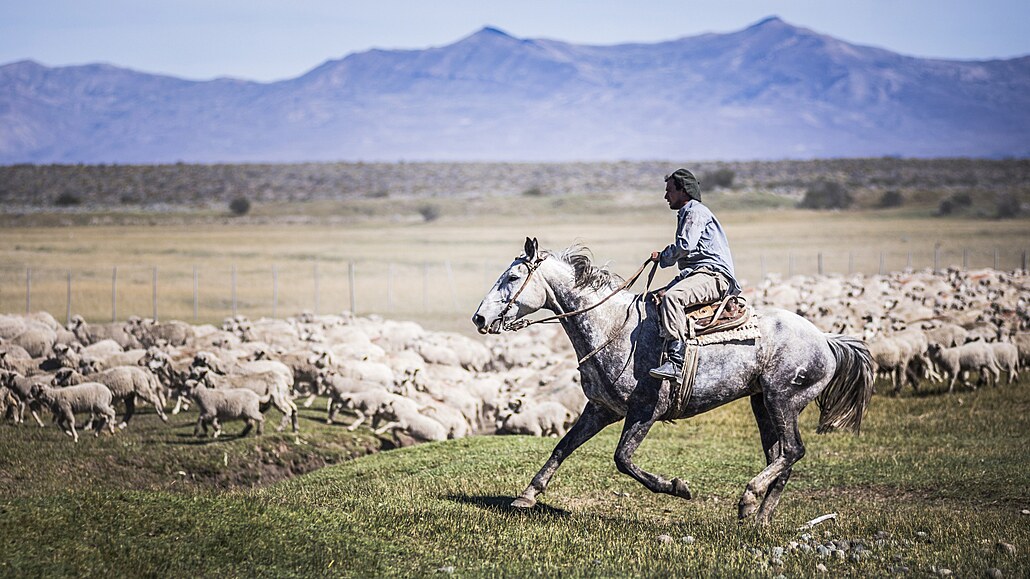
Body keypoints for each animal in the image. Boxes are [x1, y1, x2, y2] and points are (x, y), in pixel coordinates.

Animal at [471, 237, 873, 523]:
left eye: (512, 277)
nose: (479, 319)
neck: (614, 328)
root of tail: (826, 340)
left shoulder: (645, 412)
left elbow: (622, 459)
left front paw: (677, 487)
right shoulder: (601, 409)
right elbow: (562, 447)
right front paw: (527, 495)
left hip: (783, 400)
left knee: (793, 451)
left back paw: (748, 497)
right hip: (762, 403)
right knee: (781, 458)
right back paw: (757, 517)